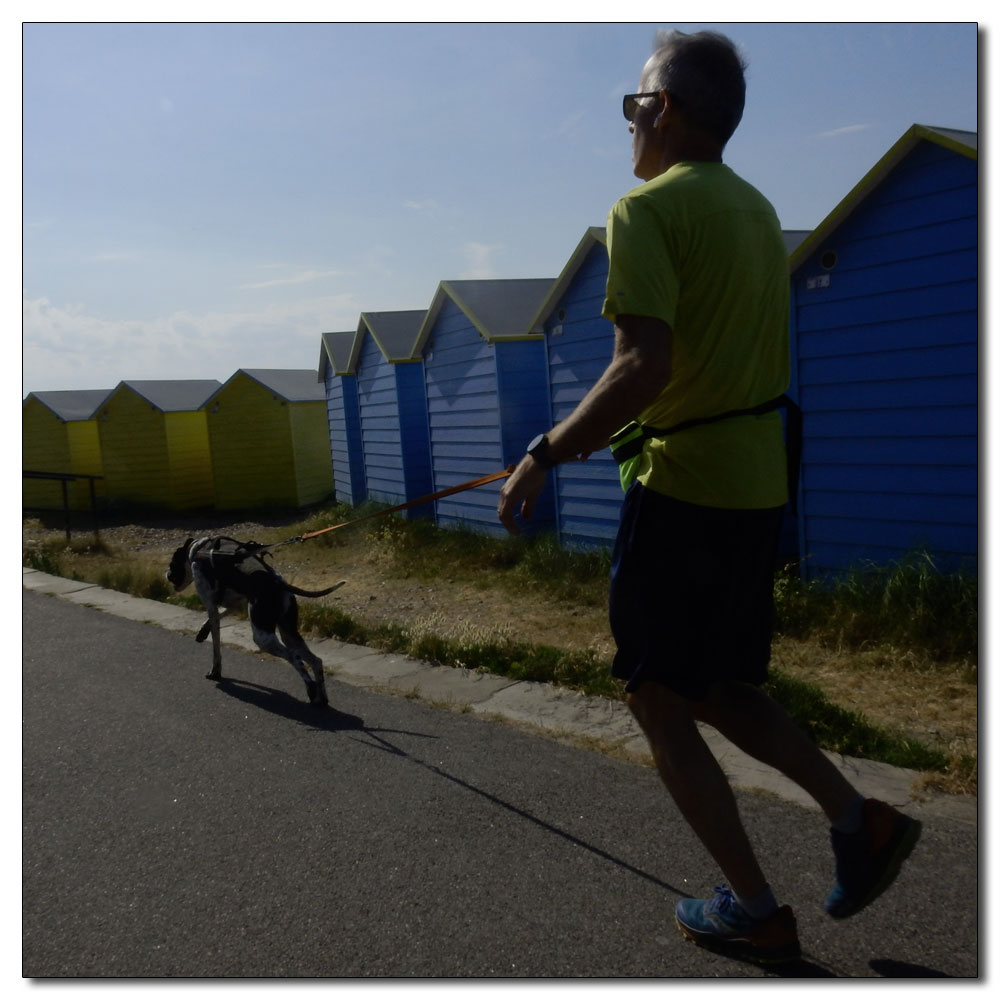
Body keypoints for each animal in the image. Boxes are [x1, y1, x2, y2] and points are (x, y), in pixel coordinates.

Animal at [166, 536, 346, 708]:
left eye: (171, 564)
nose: (166, 574)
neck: (199, 549)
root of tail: (278, 583)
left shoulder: (211, 604)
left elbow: (216, 646)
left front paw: (215, 670)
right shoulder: (234, 603)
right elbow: (217, 618)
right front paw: (203, 631)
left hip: (262, 637)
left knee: (295, 658)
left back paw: (311, 688)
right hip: (289, 634)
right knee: (316, 661)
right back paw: (321, 699)